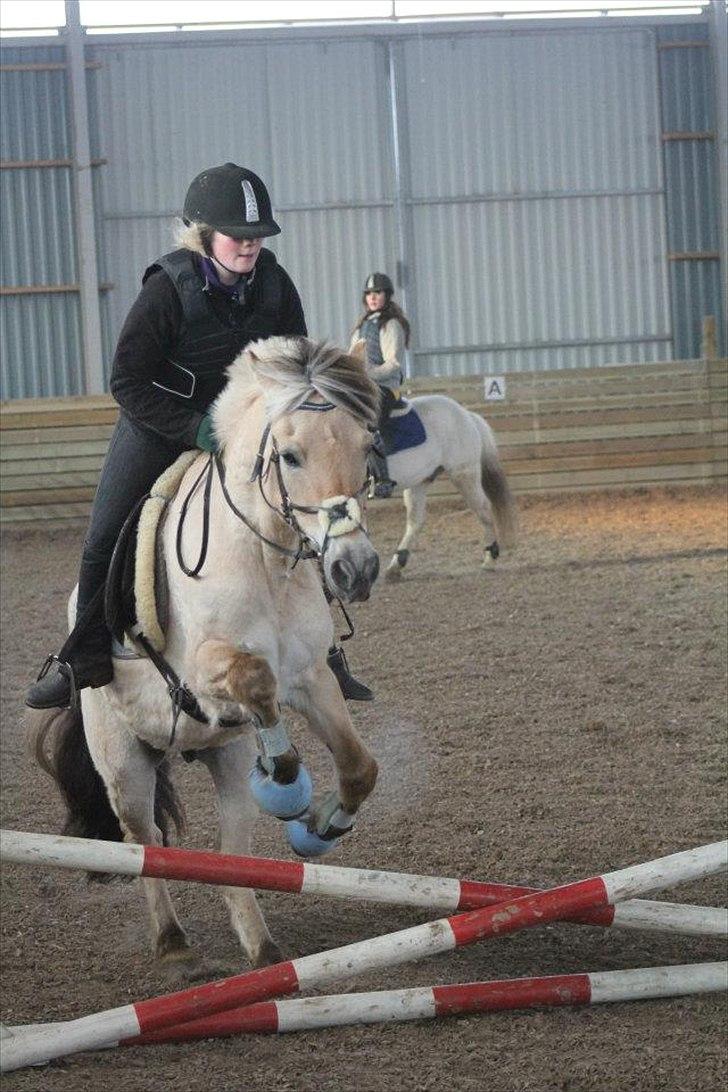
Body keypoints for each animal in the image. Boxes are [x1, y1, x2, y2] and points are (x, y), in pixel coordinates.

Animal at [29, 337, 382, 972]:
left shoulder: (311, 675)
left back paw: (262, 948)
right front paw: (288, 781)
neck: (264, 559)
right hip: (124, 764)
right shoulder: (202, 673)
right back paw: (171, 941)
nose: (355, 569)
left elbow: (357, 766)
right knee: (143, 841)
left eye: (366, 447)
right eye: (290, 456)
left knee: (230, 852)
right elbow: (256, 681)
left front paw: (319, 825)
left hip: (224, 761)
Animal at [379, 395, 517, 579]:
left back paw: (489, 558)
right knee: (415, 521)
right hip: (419, 482)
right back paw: (396, 565)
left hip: (464, 475)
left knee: (483, 508)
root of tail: (466, 414)